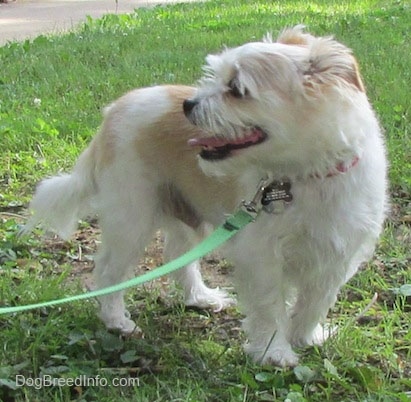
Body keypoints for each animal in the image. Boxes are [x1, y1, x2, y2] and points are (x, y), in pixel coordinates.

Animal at [25, 26, 390, 368]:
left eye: (237, 89)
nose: (189, 104)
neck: (307, 176)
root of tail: (114, 110)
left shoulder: (338, 255)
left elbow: (315, 302)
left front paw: (306, 337)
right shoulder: (262, 256)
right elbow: (270, 306)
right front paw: (274, 350)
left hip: (186, 216)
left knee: (178, 257)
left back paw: (199, 297)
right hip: (131, 219)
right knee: (108, 271)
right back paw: (116, 320)